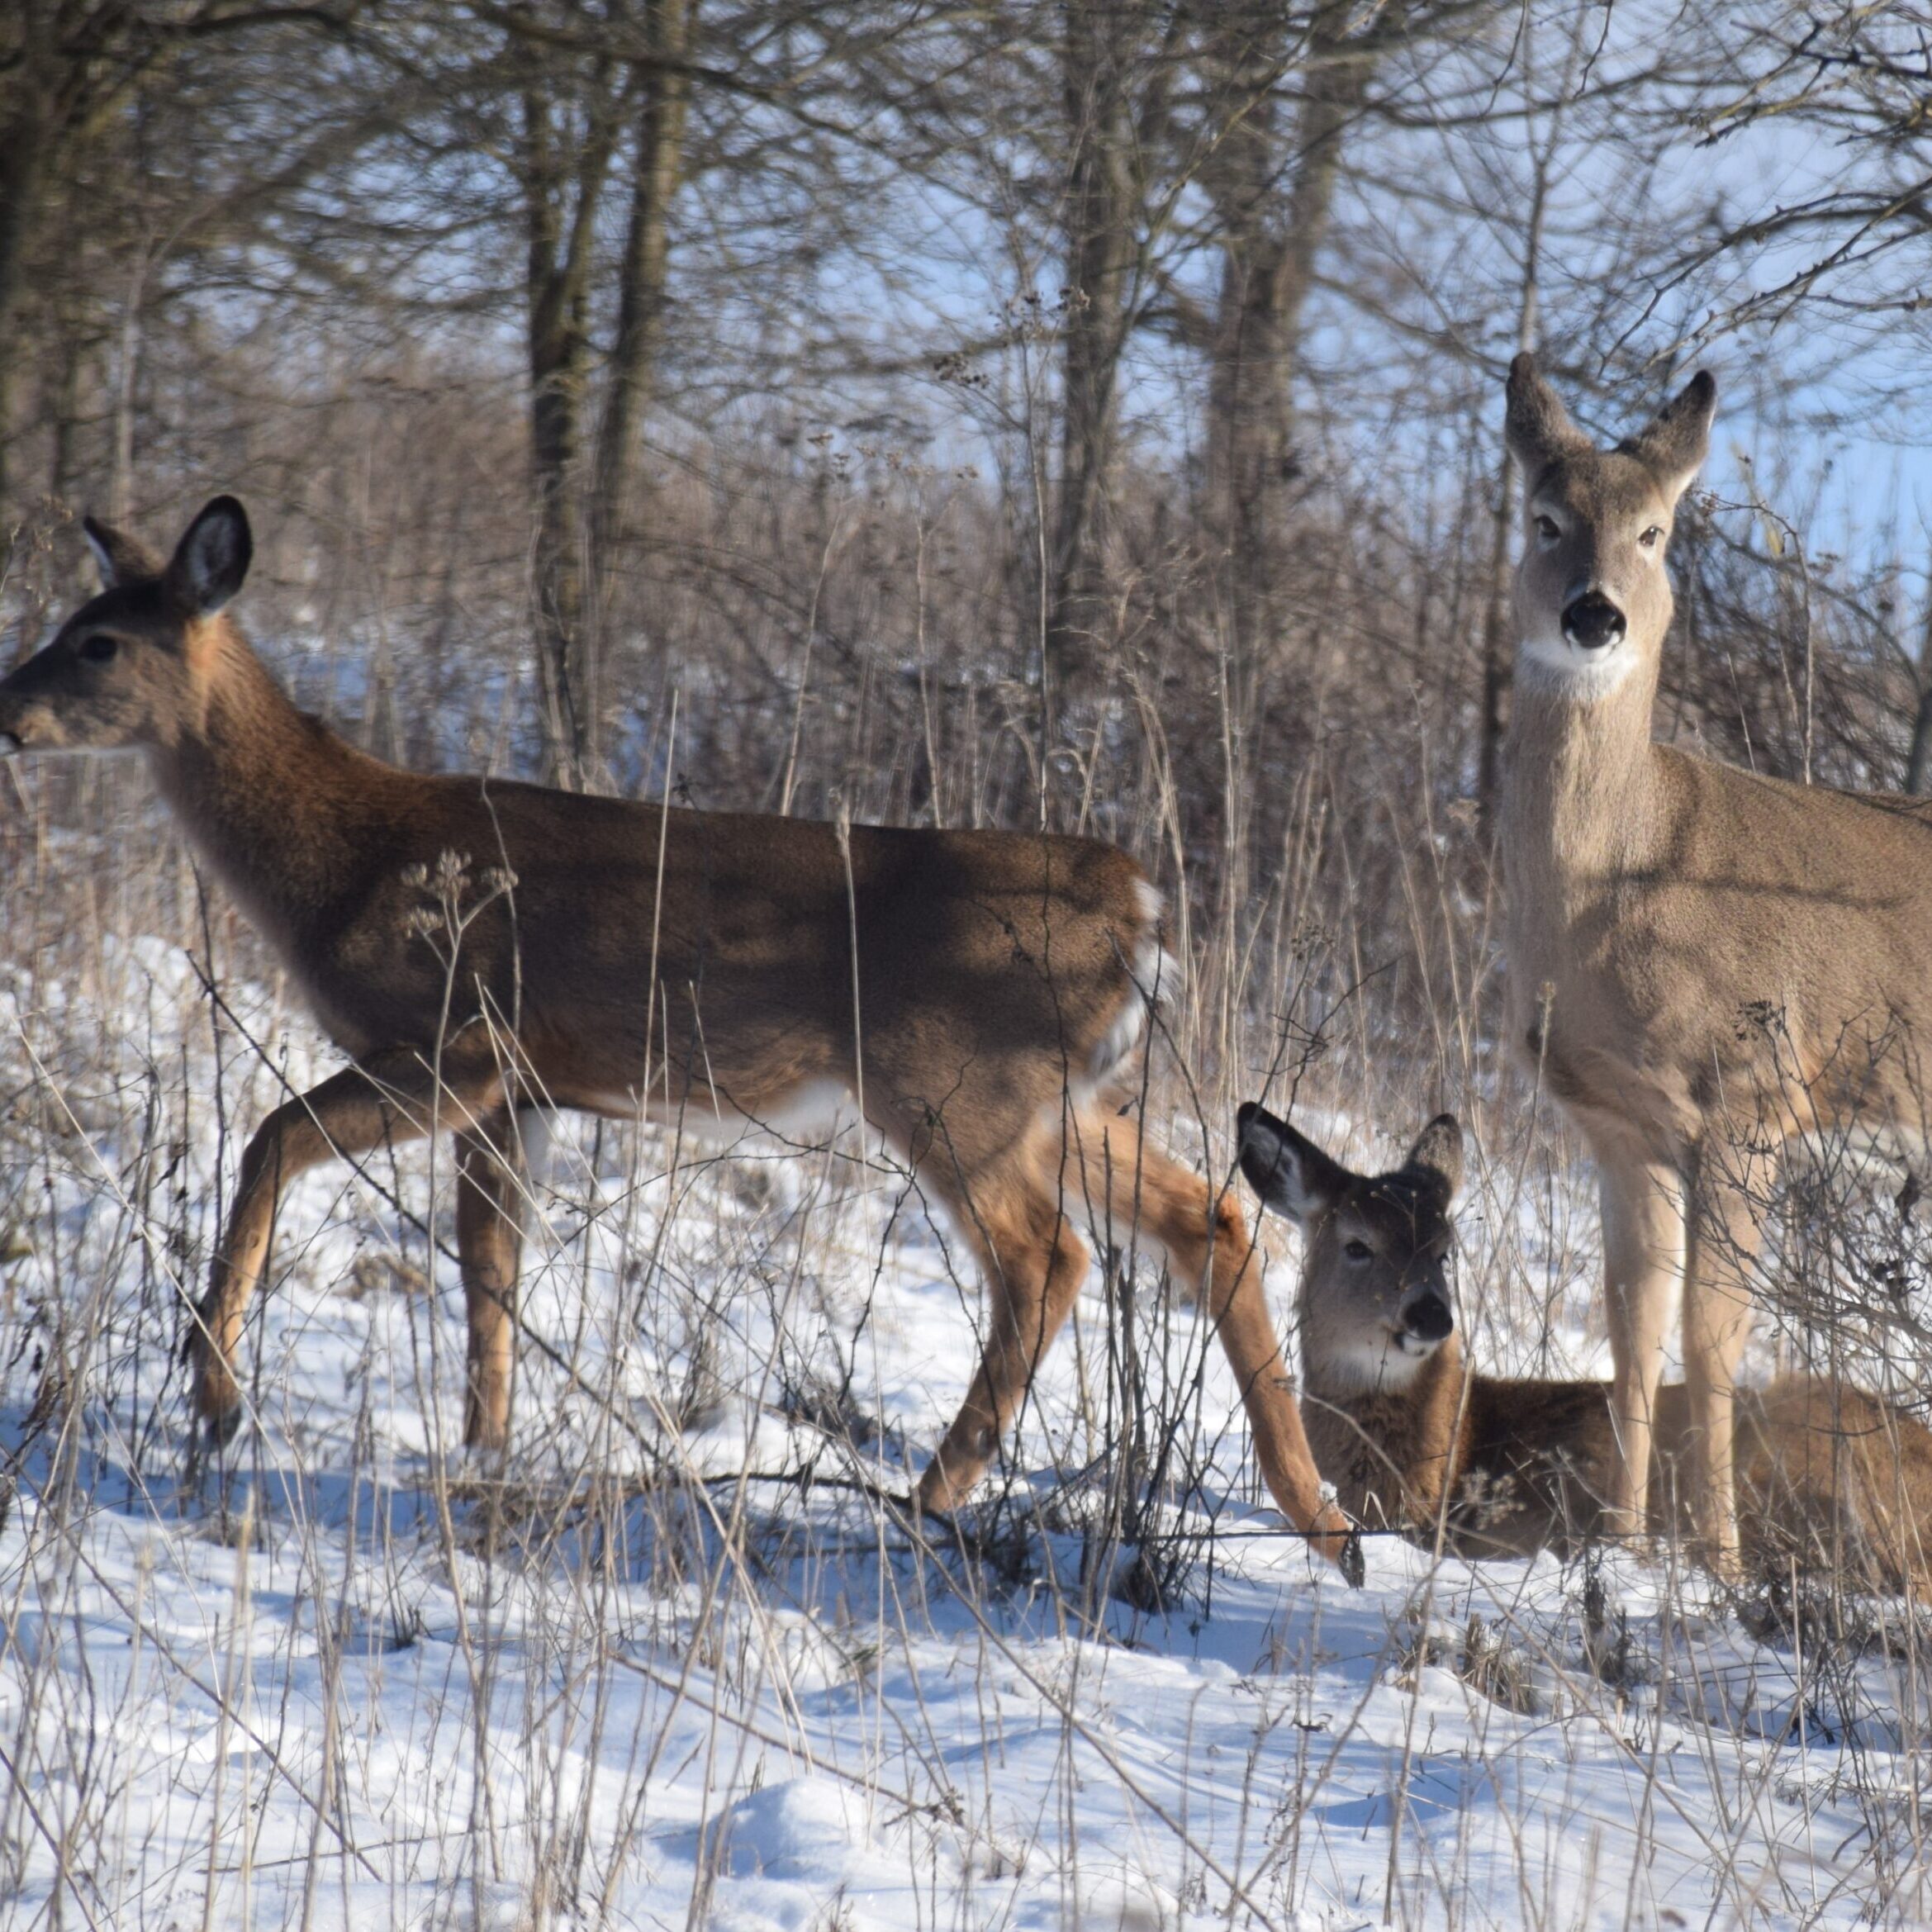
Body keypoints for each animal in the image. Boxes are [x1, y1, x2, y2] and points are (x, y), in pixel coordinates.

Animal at [0, 496, 1356, 1567]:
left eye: (96, 641)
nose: (6, 708)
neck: (346, 856)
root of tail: (1139, 907)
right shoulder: (523, 1091)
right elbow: (488, 1271)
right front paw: (484, 1452)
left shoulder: (457, 1040)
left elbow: (271, 1138)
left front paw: (217, 1398)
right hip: (1057, 1098)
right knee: (1206, 1216)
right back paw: (1322, 1523)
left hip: (948, 1084)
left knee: (1046, 1254)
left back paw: (935, 1491)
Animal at [1499, 353, 1932, 1578]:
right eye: (1543, 517)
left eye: (1652, 532)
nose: (1592, 612)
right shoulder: (1613, 1117)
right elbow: (1631, 1320)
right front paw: (1618, 1544)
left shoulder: (1752, 1095)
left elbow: (1715, 1327)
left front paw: (1718, 1562)